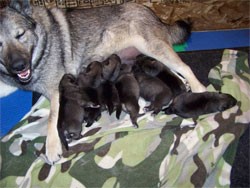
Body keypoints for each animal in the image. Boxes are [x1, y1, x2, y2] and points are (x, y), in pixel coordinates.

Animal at [0, 0, 206, 164]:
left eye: (20, 35)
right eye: (0, 44)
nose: (18, 66)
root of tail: (150, 11)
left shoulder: (56, 89)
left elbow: (52, 118)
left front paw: (51, 148)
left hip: (152, 48)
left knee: (185, 67)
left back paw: (199, 89)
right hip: (152, 55)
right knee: (173, 73)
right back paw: (185, 86)